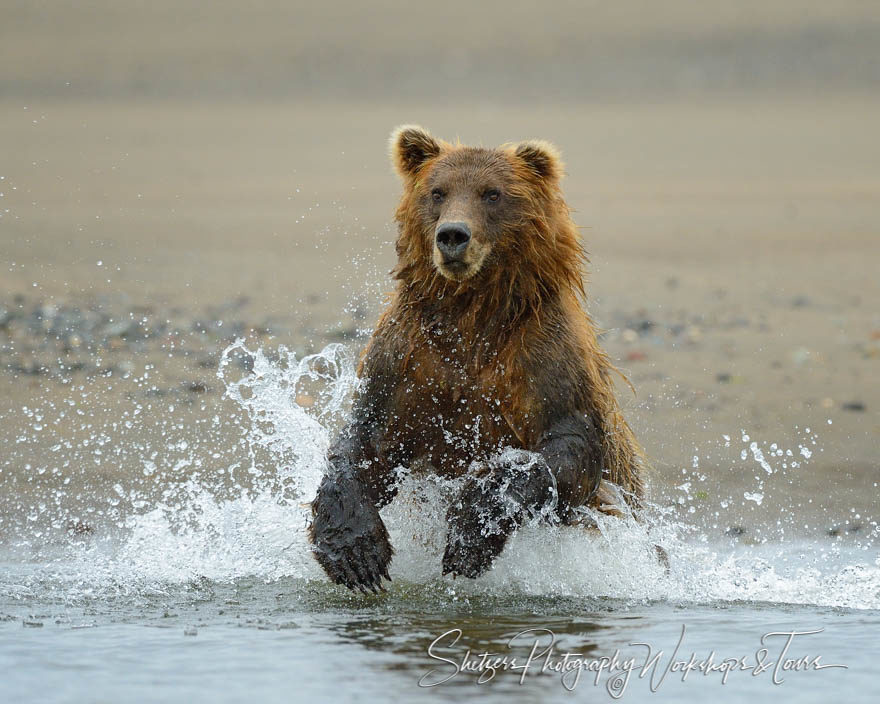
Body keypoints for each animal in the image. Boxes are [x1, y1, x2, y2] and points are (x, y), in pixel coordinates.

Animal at [310, 124, 648, 592]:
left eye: (492, 193)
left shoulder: (544, 357)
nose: (453, 235)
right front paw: (355, 552)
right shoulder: (410, 357)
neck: (473, 314)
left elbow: (566, 446)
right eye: (437, 191)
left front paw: (470, 535)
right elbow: (367, 439)